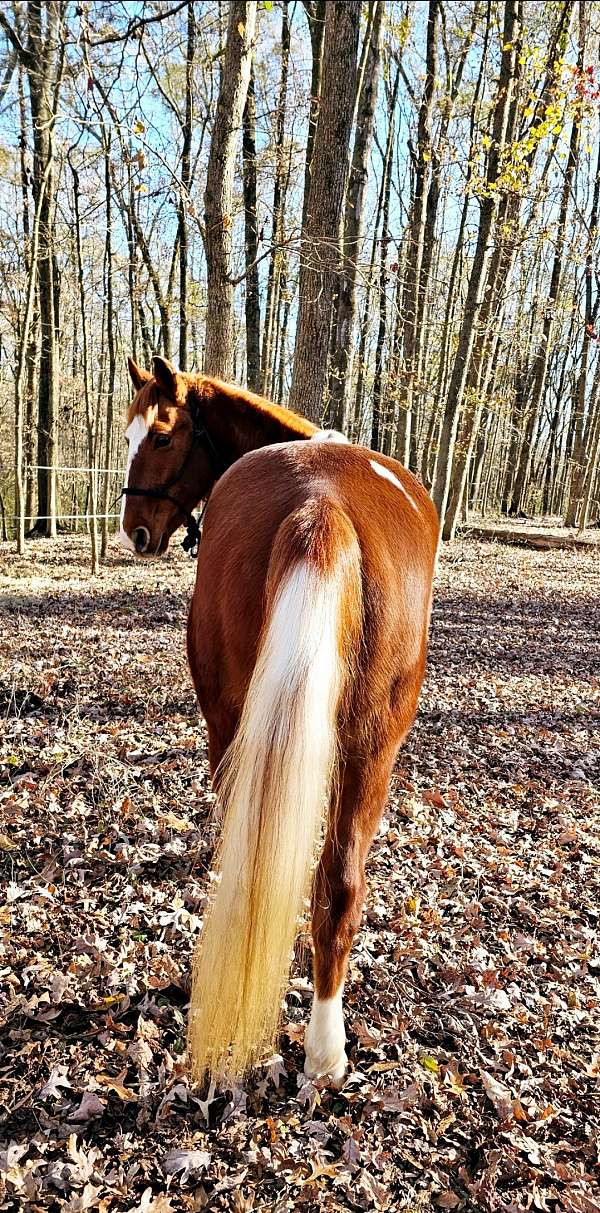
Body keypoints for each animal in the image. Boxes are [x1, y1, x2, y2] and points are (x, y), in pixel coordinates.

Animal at [121, 354, 441, 1086]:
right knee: (338, 882)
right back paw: (326, 1050)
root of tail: (320, 503)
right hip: (370, 747)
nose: (136, 530)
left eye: (160, 437)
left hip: (237, 719)